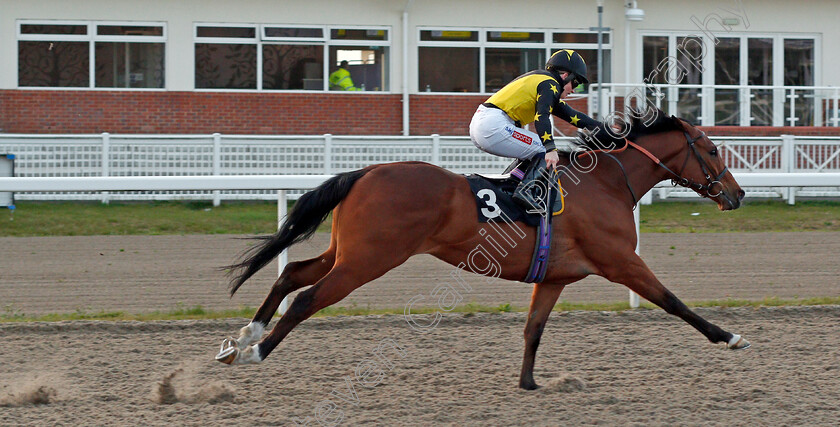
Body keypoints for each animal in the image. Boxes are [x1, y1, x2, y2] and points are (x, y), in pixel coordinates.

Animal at [215, 109, 748, 392]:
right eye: (713, 151)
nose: (737, 195)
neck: (607, 183)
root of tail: (366, 172)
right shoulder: (621, 262)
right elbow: (673, 302)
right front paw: (730, 338)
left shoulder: (555, 278)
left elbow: (533, 329)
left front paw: (529, 383)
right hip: (368, 260)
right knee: (307, 298)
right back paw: (255, 351)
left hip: (348, 252)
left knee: (292, 274)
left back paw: (243, 337)